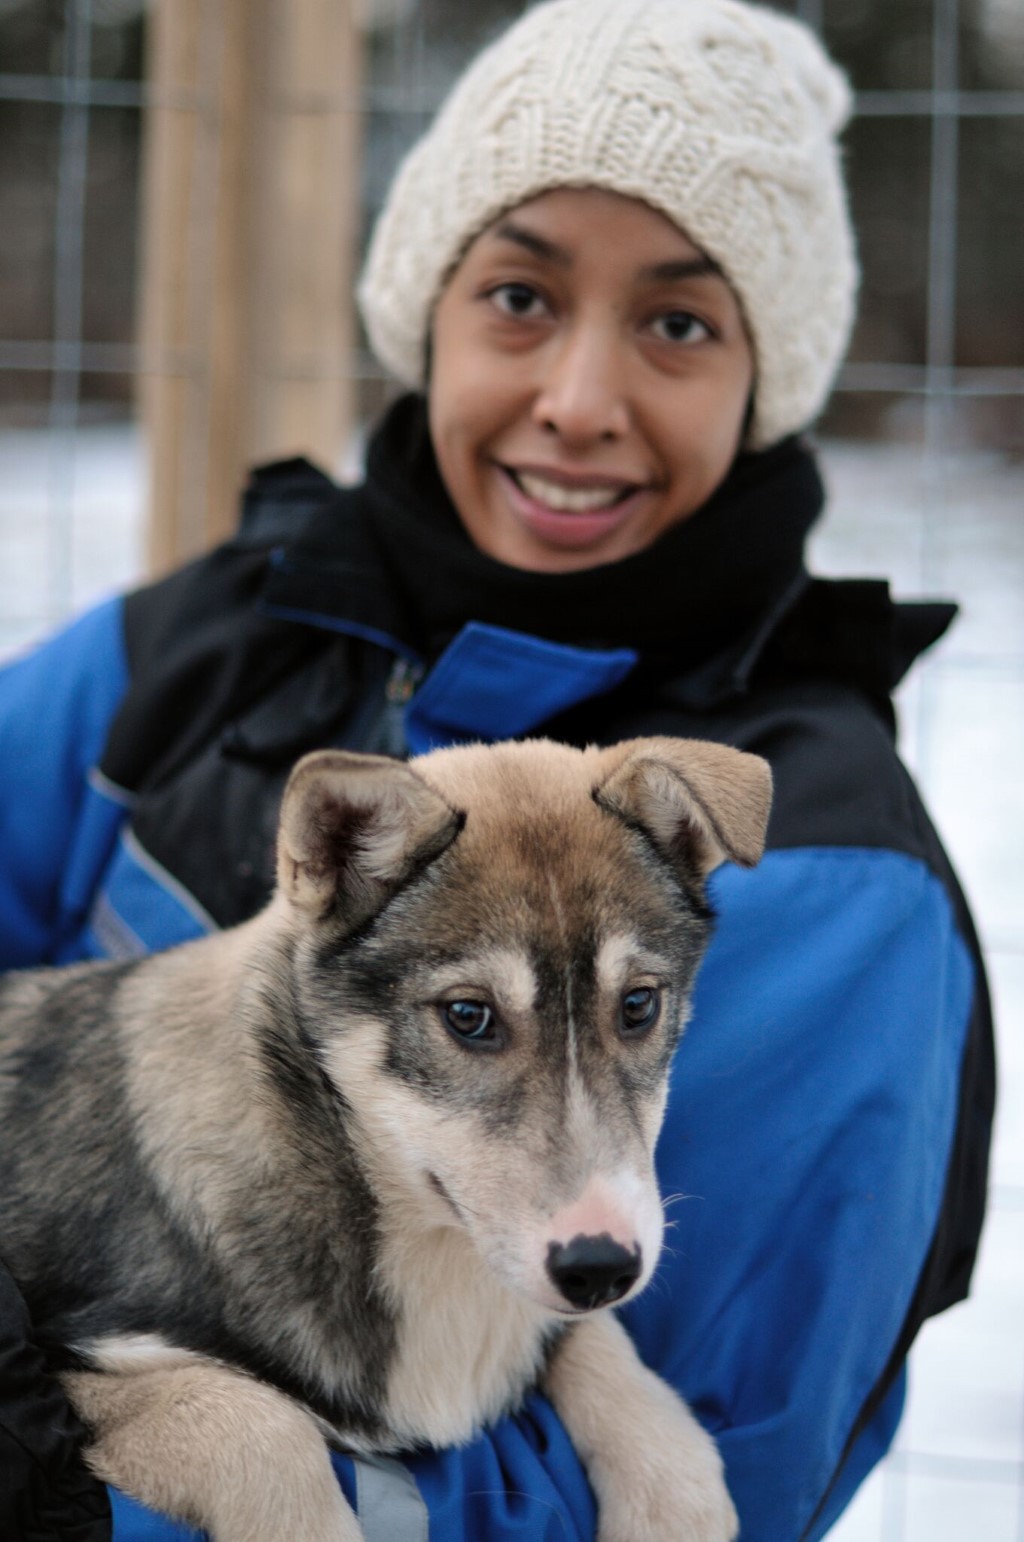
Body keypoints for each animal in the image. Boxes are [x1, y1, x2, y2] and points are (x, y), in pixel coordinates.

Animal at [0, 740, 768, 1535]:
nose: (600, 1266)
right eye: (468, 1015)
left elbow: (593, 1345)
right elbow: (260, 1426)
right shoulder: (70, 1361)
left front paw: (672, 1492)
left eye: (638, 1005)